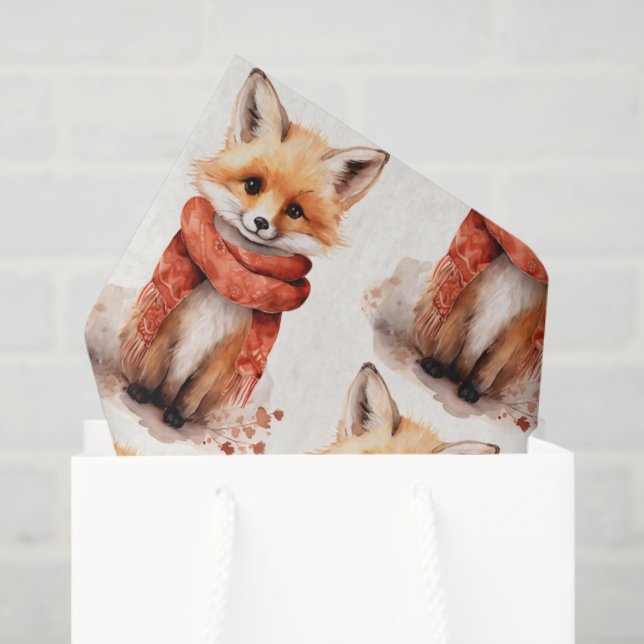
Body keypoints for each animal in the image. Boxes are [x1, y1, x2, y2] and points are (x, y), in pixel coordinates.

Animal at [119, 68, 389, 429]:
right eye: (252, 185)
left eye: (295, 211)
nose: (260, 222)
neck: (231, 278)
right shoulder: (169, 326)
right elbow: (153, 365)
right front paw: (141, 392)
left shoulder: (224, 356)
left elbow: (191, 393)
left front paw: (177, 415)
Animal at [414, 252, 547, 404]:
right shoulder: (464, 303)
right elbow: (450, 343)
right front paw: (438, 364)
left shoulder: (518, 332)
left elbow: (490, 366)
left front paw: (472, 388)